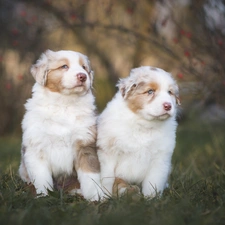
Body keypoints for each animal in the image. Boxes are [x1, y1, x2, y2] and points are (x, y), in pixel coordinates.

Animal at [18, 49, 102, 200]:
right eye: (64, 66)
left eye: (84, 67)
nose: (83, 76)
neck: (65, 103)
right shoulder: (36, 147)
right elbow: (41, 178)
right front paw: (43, 197)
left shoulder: (85, 144)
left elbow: (90, 175)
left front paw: (96, 197)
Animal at [97, 66, 181, 198]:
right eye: (150, 91)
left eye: (170, 92)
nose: (168, 106)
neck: (143, 124)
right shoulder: (108, 153)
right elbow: (107, 179)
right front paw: (106, 196)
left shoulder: (160, 158)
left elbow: (153, 182)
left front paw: (151, 199)